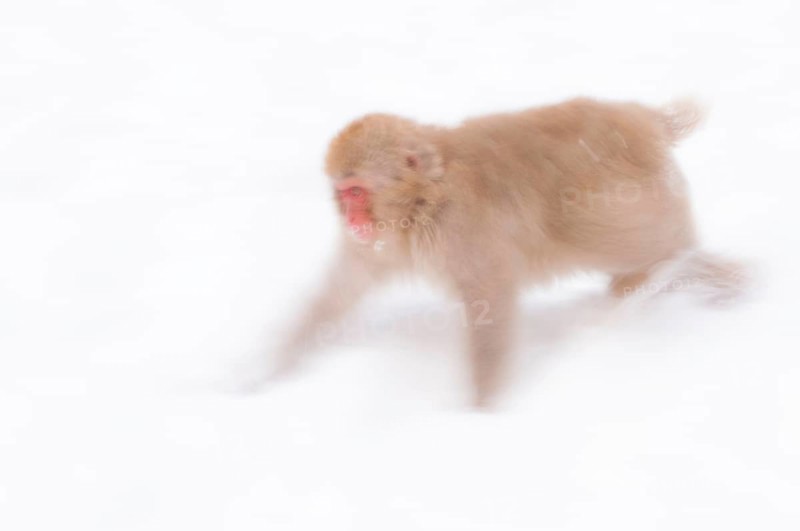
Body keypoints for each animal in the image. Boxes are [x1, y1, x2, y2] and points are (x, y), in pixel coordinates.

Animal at [273, 97, 745, 407]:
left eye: (357, 191)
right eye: (342, 193)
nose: (351, 219)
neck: (425, 198)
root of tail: (642, 116)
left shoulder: (461, 230)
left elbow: (490, 295)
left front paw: (482, 411)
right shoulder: (380, 241)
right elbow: (340, 291)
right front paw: (274, 370)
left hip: (630, 201)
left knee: (648, 246)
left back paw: (700, 276)